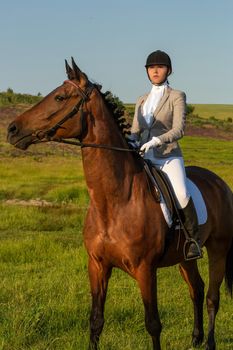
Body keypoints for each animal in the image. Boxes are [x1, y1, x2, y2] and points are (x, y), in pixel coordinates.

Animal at [7, 58, 233, 350]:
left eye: (59, 97)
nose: (12, 130)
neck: (114, 201)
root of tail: (219, 183)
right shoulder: (97, 266)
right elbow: (95, 321)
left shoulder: (145, 270)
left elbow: (153, 324)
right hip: (185, 257)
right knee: (197, 288)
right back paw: (196, 338)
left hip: (218, 250)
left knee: (212, 298)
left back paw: (209, 343)